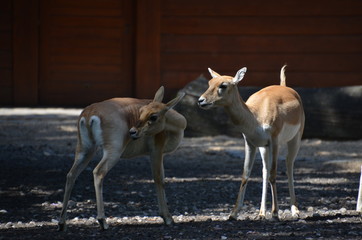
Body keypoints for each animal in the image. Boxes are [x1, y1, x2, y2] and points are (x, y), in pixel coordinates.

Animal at [58, 86, 187, 231]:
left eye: (153, 116)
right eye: (141, 111)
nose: (133, 132)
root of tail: (89, 114)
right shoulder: (156, 151)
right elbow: (159, 179)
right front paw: (167, 218)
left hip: (85, 150)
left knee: (71, 175)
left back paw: (62, 223)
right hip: (113, 152)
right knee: (98, 172)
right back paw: (103, 221)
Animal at [198, 66, 306, 221]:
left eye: (223, 85)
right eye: (209, 83)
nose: (201, 100)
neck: (256, 116)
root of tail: (285, 86)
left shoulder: (274, 142)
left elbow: (273, 174)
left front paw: (275, 213)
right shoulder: (251, 143)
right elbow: (246, 174)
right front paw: (233, 213)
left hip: (294, 140)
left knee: (289, 166)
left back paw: (295, 211)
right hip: (264, 148)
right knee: (265, 171)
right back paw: (261, 213)